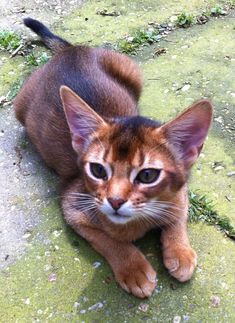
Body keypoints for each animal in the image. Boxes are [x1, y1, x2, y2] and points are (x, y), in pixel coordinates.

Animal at [14, 17, 213, 300]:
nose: (115, 201)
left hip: (132, 71)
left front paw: (180, 252)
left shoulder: (180, 190)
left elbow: (177, 214)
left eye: (148, 175)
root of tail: (70, 51)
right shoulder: (73, 206)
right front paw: (134, 269)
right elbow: (109, 240)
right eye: (98, 170)